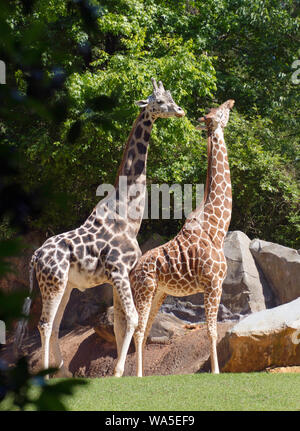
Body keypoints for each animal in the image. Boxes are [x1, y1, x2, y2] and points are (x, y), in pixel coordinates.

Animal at [14, 78, 185, 378]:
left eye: (172, 98)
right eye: (159, 101)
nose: (179, 110)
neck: (129, 216)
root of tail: (35, 255)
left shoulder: (121, 275)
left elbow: (120, 322)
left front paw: (123, 372)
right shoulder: (118, 271)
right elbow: (132, 318)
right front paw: (119, 371)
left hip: (65, 285)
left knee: (54, 325)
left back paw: (63, 373)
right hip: (53, 282)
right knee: (44, 324)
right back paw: (46, 374)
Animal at [113, 99, 236, 376]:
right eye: (221, 112)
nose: (231, 102)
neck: (217, 226)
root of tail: (132, 269)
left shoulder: (215, 285)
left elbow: (211, 330)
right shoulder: (213, 283)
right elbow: (211, 331)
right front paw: (216, 372)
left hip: (158, 293)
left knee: (143, 330)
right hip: (145, 289)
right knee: (137, 330)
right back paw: (136, 375)